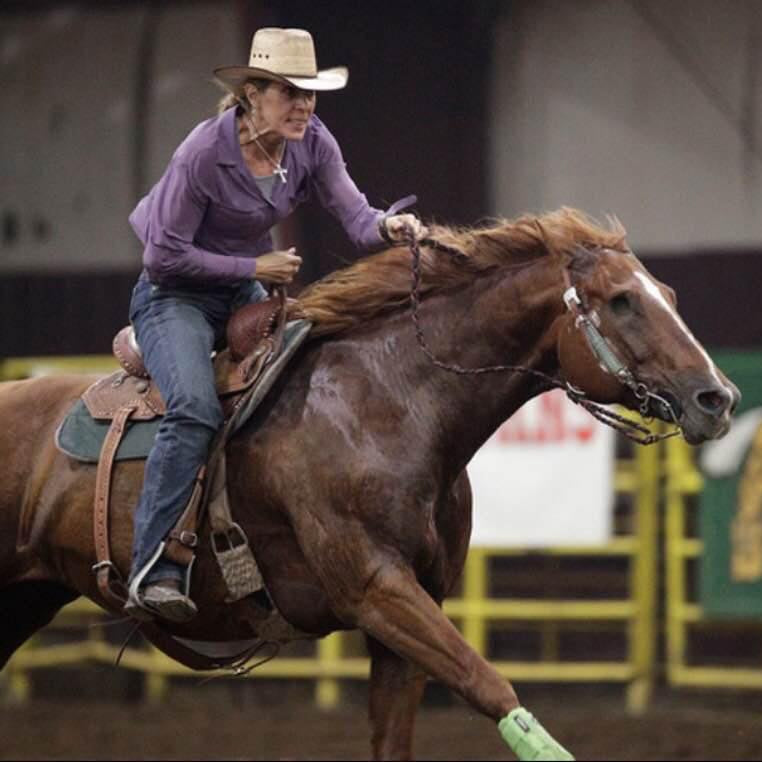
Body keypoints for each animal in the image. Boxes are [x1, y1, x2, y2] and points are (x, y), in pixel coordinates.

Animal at [0, 208, 738, 760]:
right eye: (622, 301)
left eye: (669, 297)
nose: (718, 398)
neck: (389, 403)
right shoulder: (377, 589)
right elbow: (484, 680)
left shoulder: (406, 618)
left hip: (26, 597)